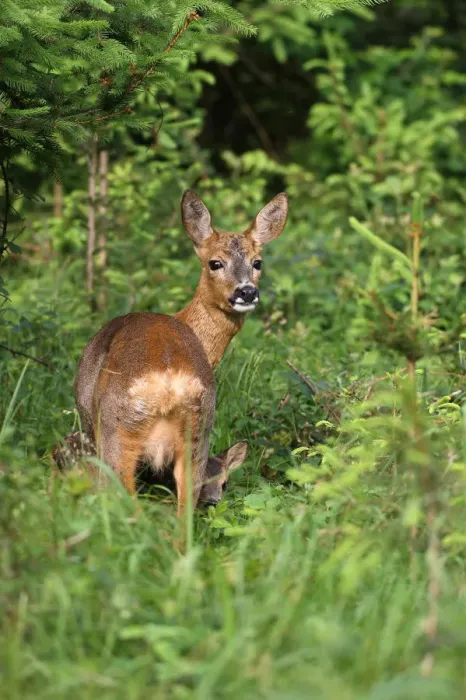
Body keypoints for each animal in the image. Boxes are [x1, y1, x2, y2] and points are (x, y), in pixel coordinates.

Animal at [73, 189, 288, 515]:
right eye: (215, 263)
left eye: (257, 262)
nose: (247, 292)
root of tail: (167, 384)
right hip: (198, 432)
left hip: (114, 431)